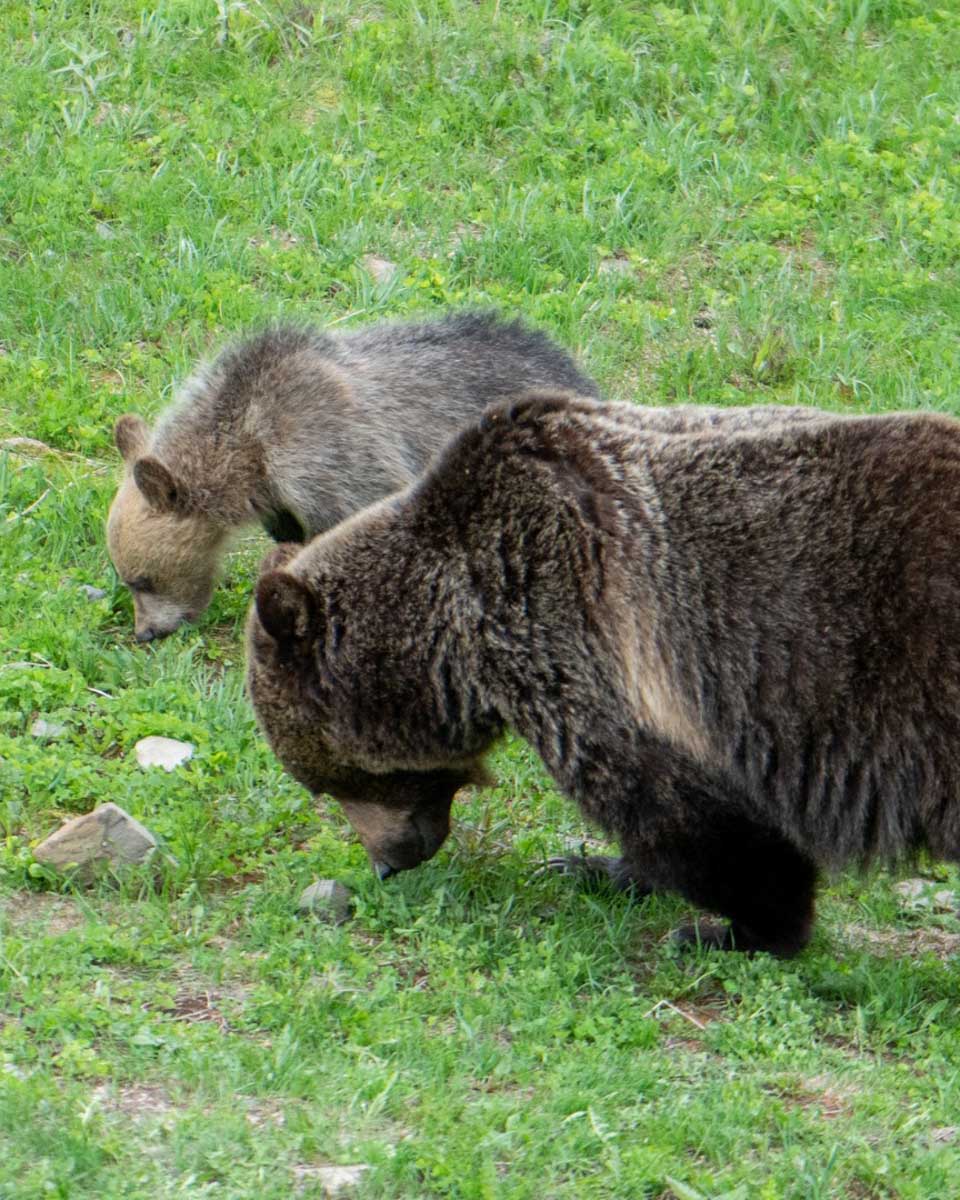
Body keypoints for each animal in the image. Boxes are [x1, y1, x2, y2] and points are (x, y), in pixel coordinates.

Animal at [243, 391, 960, 957]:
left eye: (324, 781)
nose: (387, 864)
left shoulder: (589, 651)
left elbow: (686, 815)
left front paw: (736, 928)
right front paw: (586, 865)